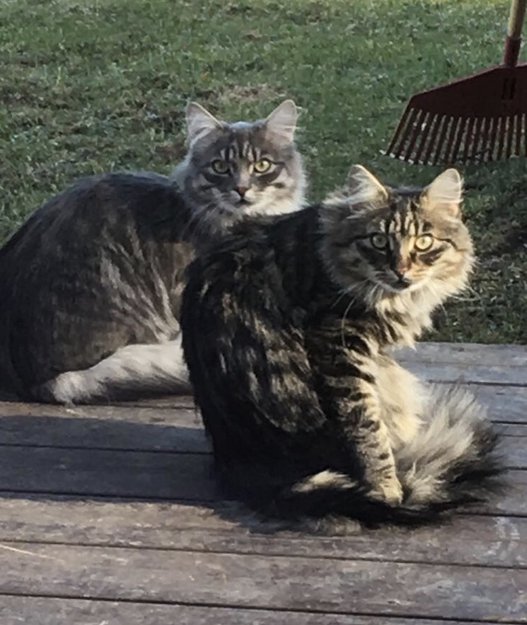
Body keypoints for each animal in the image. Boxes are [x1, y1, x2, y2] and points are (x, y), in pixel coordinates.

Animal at [181, 165, 504, 527]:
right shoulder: (338, 346)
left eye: (424, 242)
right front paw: (386, 491)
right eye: (378, 241)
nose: (401, 271)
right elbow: (367, 430)